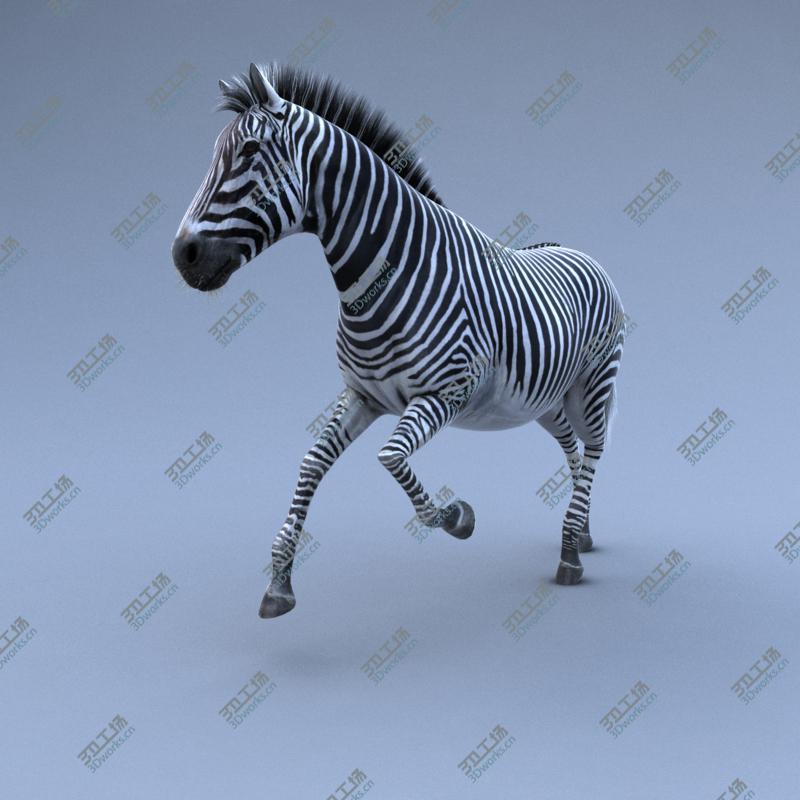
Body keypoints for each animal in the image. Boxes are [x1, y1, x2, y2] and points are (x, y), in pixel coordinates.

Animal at [172, 63, 626, 619]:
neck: (387, 277)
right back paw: (580, 535)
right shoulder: (362, 396)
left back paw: (569, 557)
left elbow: (389, 458)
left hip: (593, 385)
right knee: (573, 450)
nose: (182, 255)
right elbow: (310, 464)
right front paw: (279, 582)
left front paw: (458, 518)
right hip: (543, 400)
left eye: (250, 152)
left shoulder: (446, 392)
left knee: (596, 448)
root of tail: (578, 249)